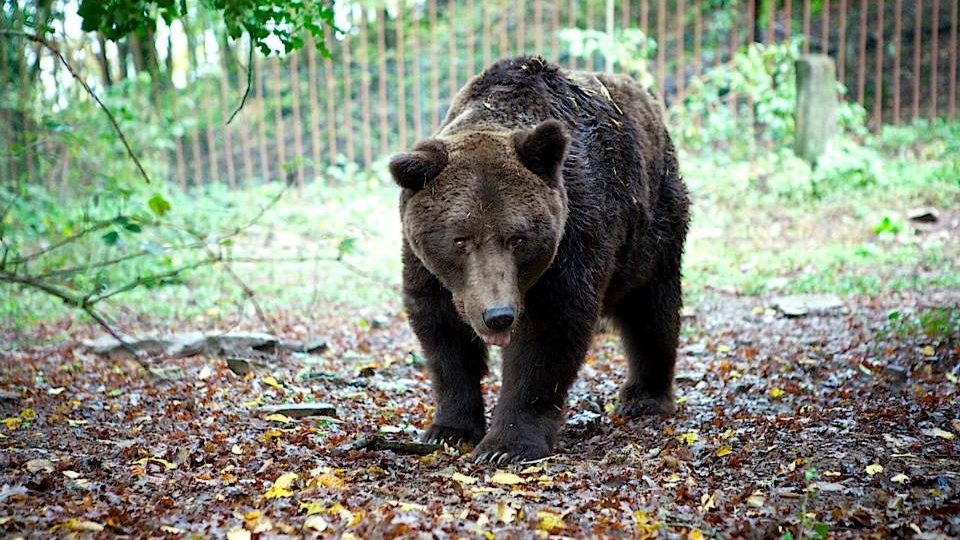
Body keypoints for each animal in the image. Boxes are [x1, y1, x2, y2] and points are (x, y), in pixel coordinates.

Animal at [386, 56, 688, 464]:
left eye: (517, 238)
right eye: (460, 240)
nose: (498, 315)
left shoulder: (573, 237)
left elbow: (547, 335)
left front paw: (505, 446)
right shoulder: (429, 269)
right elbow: (443, 334)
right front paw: (449, 429)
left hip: (653, 226)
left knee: (652, 310)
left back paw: (644, 397)